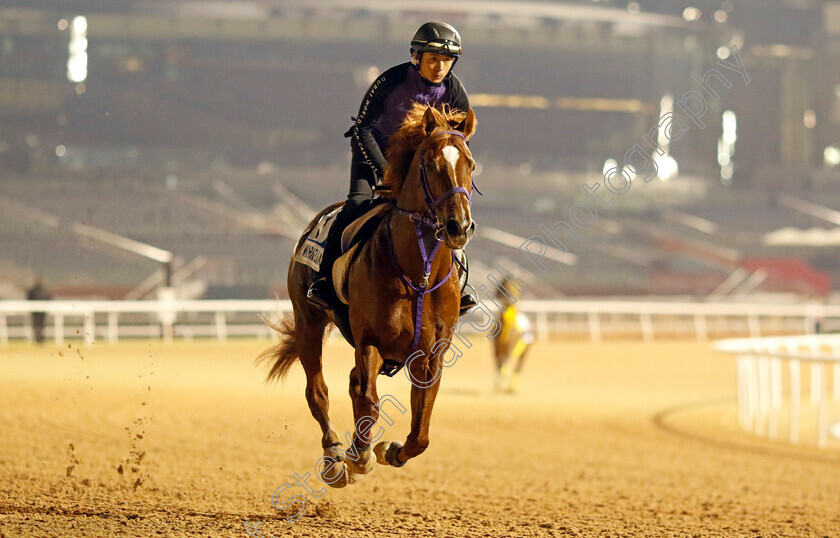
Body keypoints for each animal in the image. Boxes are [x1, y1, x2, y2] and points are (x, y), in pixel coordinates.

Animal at [260, 102, 476, 484]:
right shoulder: (370, 340)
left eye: (471, 164)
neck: (418, 275)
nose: (458, 226)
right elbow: (369, 402)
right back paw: (334, 456)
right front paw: (359, 457)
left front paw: (389, 450)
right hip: (308, 322)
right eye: (430, 164)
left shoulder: (431, 354)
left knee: (352, 383)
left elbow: (421, 427)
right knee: (319, 391)